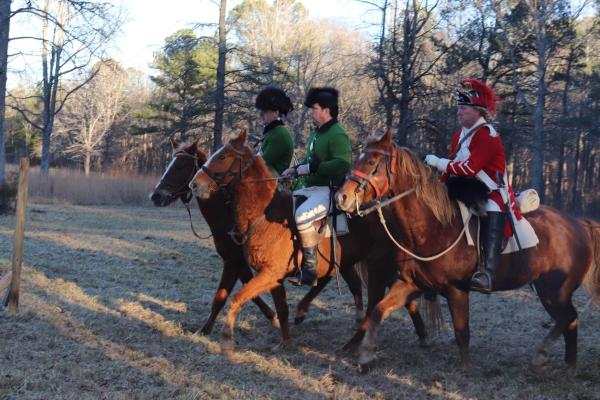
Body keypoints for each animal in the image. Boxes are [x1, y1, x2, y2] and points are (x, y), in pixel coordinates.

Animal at [189, 130, 432, 352]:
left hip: (379, 268)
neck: (263, 214)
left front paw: (226, 337)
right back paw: (420, 336)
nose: (194, 184)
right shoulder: (273, 277)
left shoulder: (267, 273)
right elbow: (281, 309)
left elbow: (237, 298)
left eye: (222, 156)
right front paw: (286, 343)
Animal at [338, 130, 600, 374]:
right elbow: (378, 311)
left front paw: (466, 368)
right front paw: (366, 356)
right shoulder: (411, 283)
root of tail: (580, 225)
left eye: (372, 161)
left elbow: (462, 332)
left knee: (568, 318)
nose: (342, 197)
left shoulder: (457, 290)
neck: (435, 227)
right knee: (570, 321)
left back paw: (543, 356)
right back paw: (569, 365)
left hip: (554, 292)